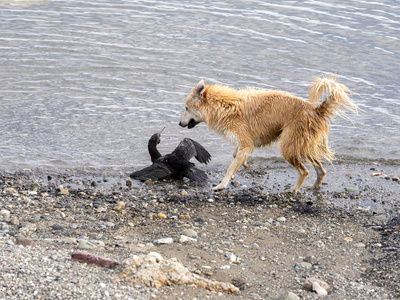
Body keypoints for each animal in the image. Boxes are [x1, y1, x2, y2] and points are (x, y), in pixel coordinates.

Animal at [178, 76, 356, 191]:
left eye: (186, 108)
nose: (179, 123)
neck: (223, 106)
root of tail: (316, 110)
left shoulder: (246, 142)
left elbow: (231, 166)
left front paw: (222, 184)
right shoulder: (246, 144)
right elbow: (236, 156)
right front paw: (243, 165)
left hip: (288, 146)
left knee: (304, 171)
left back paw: (293, 190)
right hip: (303, 146)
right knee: (321, 171)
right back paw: (313, 187)